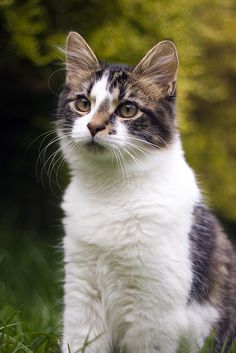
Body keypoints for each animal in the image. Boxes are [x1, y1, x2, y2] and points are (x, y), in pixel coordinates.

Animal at [56, 31, 236, 352]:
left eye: (127, 109)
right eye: (83, 104)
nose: (93, 126)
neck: (110, 190)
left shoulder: (153, 308)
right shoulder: (82, 287)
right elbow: (80, 339)